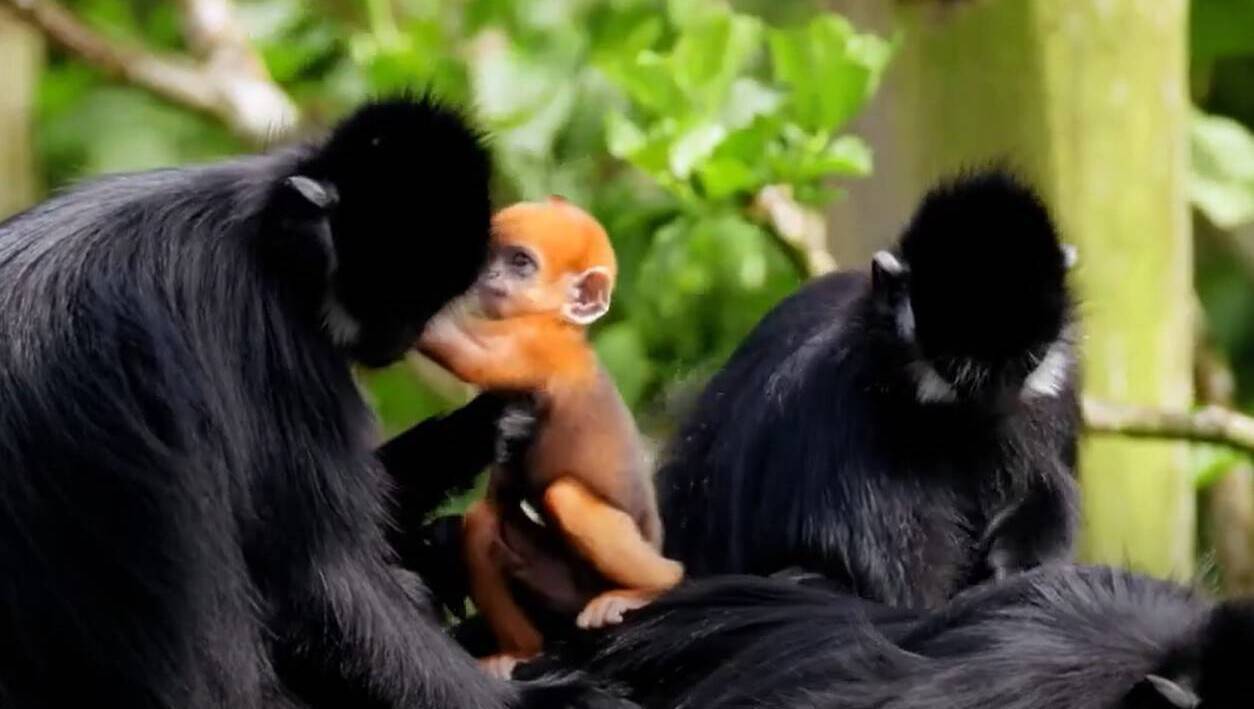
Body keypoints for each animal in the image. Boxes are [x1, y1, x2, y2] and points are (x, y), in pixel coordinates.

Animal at [0, 96, 631, 708]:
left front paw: (484, 429)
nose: (402, 337)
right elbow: (317, 576)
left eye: (423, 306)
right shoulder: (271, 328)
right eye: (391, 300)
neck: (261, 226)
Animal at [417, 197, 683, 678]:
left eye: (520, 262)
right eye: (491, 256)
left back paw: (653, 587)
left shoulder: (540, 345)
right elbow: (500, 497)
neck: (560, 324)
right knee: (484, 521)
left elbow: (469, 352)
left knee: (566, 497)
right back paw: (521, 652)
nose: (489, 276)